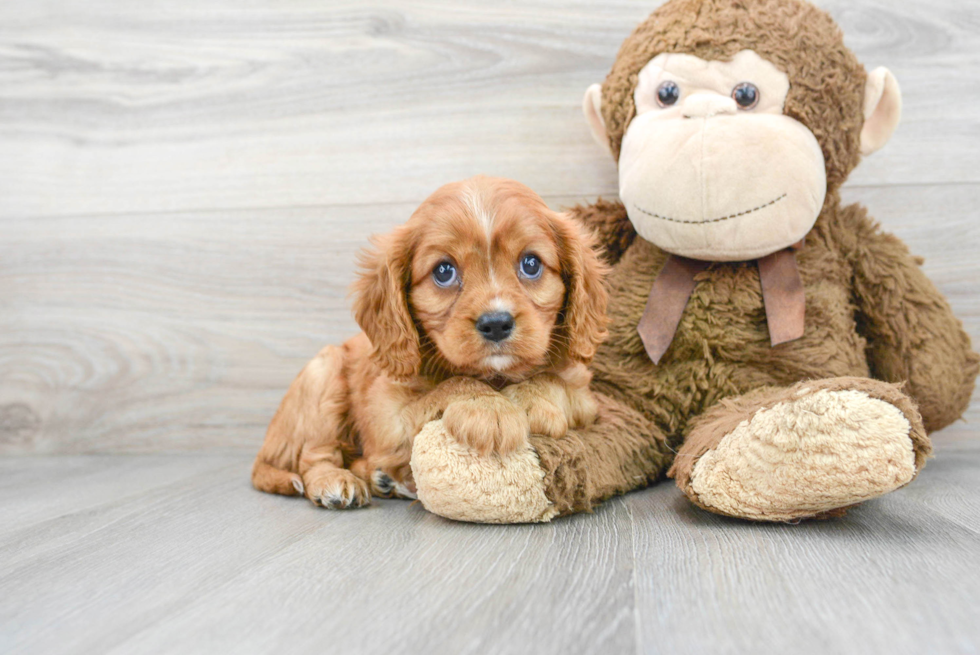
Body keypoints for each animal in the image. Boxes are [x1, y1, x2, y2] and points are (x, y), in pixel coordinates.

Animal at [251, 177, 604, 510]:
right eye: (443, 271)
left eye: (531, 264)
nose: (496, 324)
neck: (494, 377)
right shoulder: (384, 414)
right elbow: (452, 385)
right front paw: (488, 409)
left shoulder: (586, 399)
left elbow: (553, 381)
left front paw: (529, 399)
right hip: (323, 371)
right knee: (313, 456)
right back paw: (335, 482)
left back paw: (384, 480)